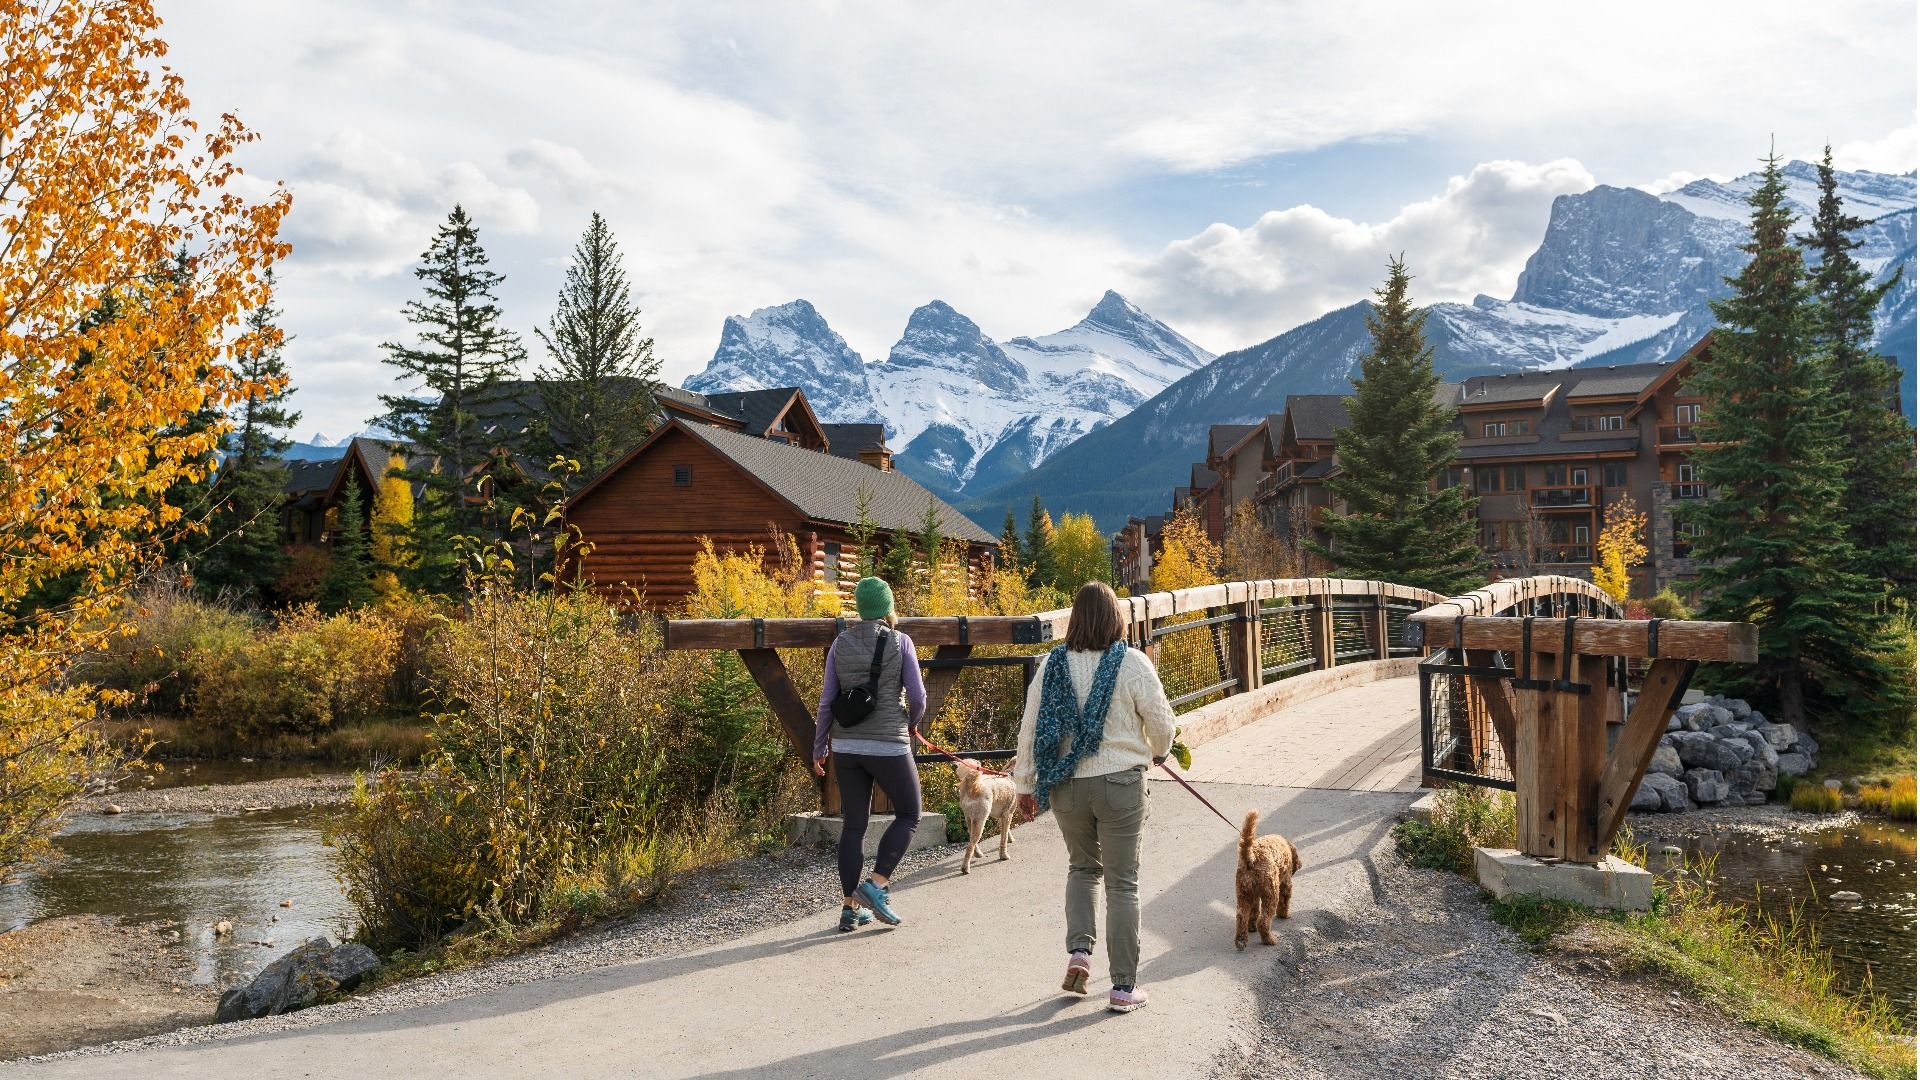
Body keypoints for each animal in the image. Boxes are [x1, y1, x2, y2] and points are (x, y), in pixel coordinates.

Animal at [1236, 803, 1297, 945]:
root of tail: (1251, 858)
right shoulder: (1285, 882)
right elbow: (1285, 900)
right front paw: (1284, 914)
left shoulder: (1253, 895)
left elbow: (1253, 911)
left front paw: (1251, 926)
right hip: (1271, 892)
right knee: (1263, 921)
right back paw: (1269, 939)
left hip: (1243, 893)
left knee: (1242, 917)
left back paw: (1241, 940)